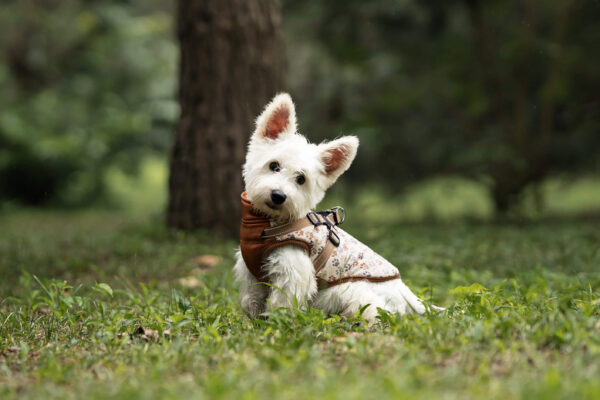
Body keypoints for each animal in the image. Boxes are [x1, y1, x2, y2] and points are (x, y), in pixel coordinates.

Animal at [232, 93, 434, 322]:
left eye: (301, 179)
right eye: (274, 165)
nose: (278, 196)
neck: (265, 222)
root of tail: (406, 295)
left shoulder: (293, 270)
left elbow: (282, 302)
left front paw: (277, 322)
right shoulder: (250, 272)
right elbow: (251, 299)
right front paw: (252, 321)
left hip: (349, 291)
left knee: (374, 311)